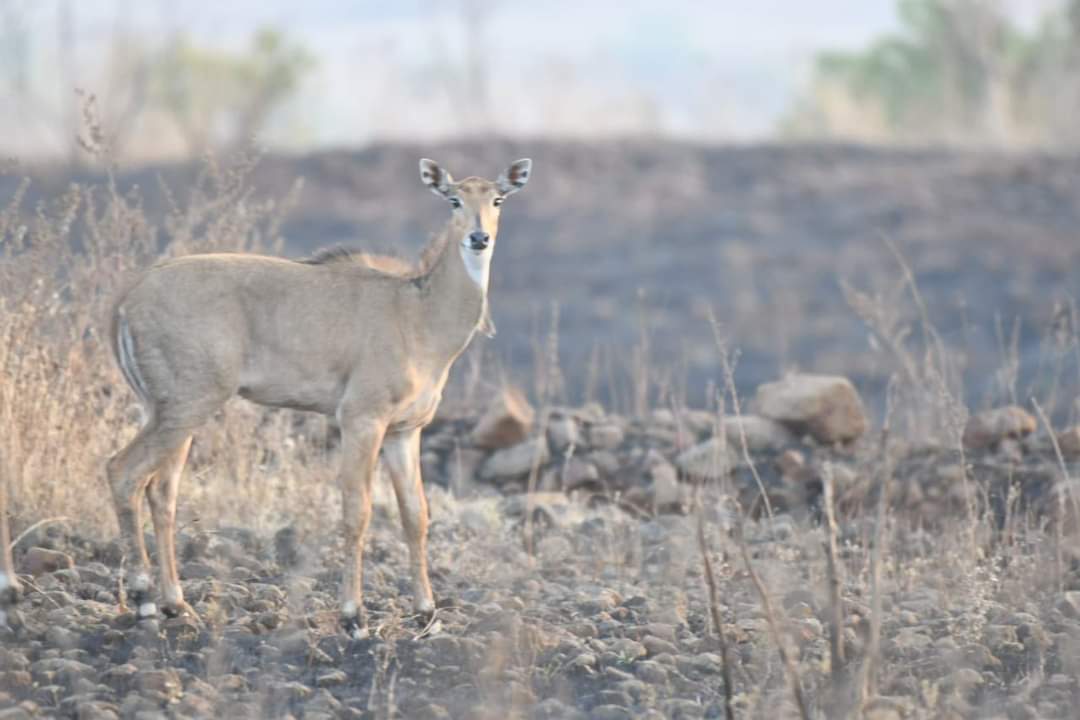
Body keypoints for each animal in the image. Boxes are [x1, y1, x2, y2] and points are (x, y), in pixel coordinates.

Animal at [108, 158, 531, 634]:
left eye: (498, 199)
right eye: (454, 199)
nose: (479, 238)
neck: (419, 315)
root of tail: (125, 303)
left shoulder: (405, 430)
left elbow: (415, 514)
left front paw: (427, 613)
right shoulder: (361, 418)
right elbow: (357, 510)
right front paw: (354, 616)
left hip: (168, 410)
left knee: (161, 491)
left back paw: (176, 605)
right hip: (187, 404)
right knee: (123, 472)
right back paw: (144, 600)